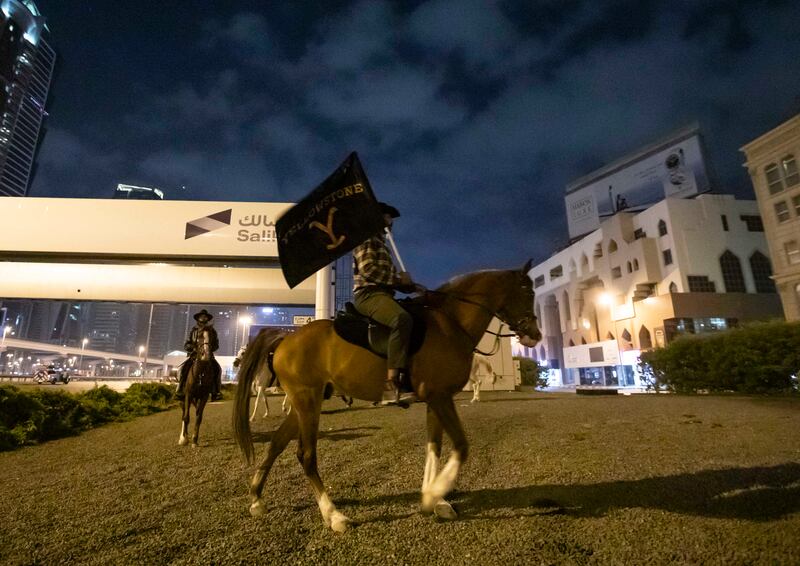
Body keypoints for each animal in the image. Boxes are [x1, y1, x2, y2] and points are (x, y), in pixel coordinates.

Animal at [233, 262, 544, 532]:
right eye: (528, 293)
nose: (535, 335)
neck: (451, 323)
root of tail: (286, 337)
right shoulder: (440, 397)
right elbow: (461, 446)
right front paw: (434, 494)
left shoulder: (436, 400)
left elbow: (434, 447)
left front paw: (435, 498)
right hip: (307, 400)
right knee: (306, 455)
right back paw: (333, 516)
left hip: (304, 403)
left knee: (276, 443)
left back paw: (257, 499)